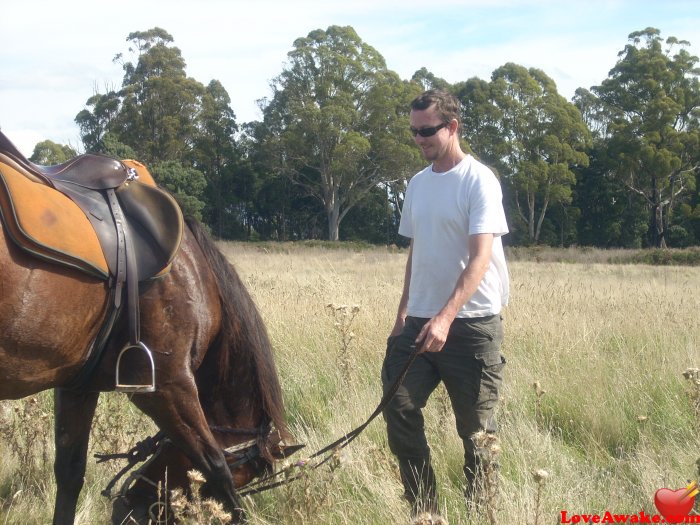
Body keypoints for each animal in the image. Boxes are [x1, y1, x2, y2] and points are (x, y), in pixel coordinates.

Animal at [0, 210, 290, 524]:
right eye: (243, 475)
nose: (132, 511)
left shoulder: (77, 387)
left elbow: (70, 473)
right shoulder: (167, 386)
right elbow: (216, 468)